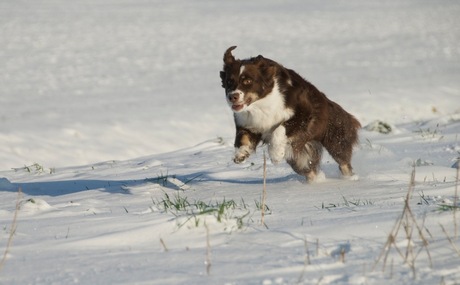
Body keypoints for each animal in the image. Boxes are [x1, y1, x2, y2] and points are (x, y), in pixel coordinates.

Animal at [220, 45, 362, 181]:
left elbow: (280, 128)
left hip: (335, 138)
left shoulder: (305, 114)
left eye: (248, 81)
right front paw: (240, 154)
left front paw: (276, 155)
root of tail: (328, 102)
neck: (261, 103)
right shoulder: (247, 122)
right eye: (229, 81)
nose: (232, 97)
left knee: (343, 162)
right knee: (308, 170)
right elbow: (243, 137)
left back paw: (350, 179)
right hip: (298, 155)